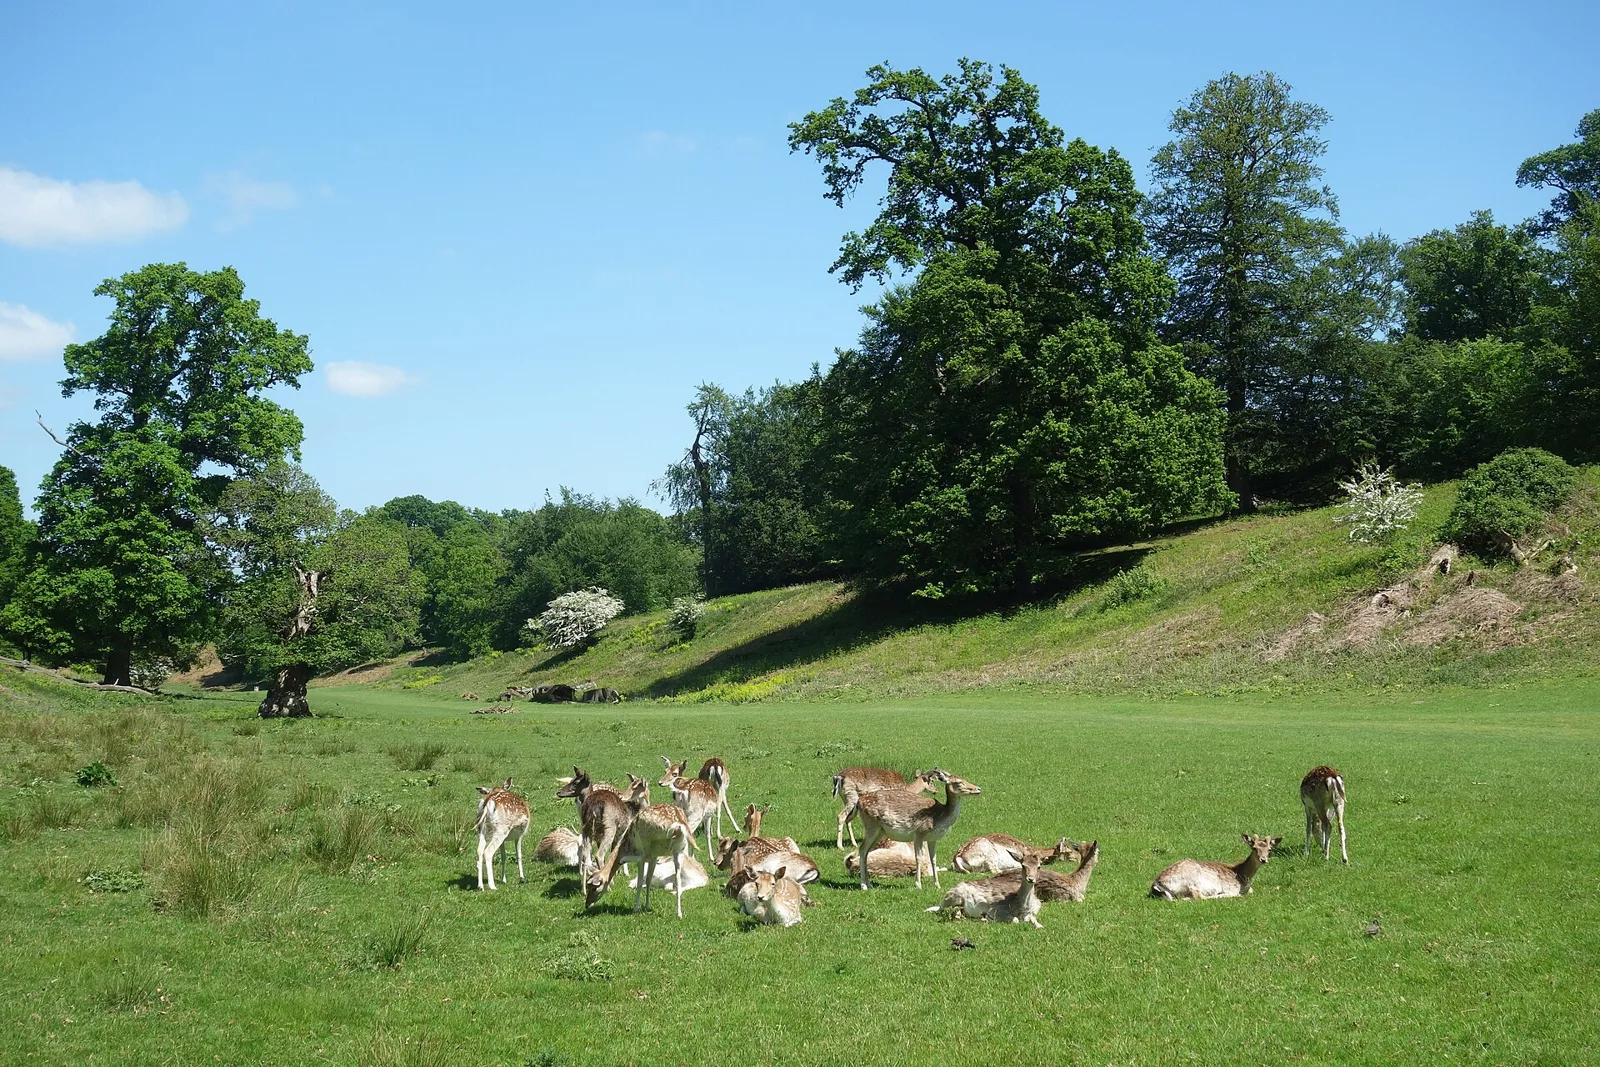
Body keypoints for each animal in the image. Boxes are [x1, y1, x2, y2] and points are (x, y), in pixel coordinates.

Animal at [1151, 834, 1282, 900]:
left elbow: (1251, 890)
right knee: (1198, 896)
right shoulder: (1231, 887)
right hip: (1192, 880)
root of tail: (1156, 884)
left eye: (1269, 849)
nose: (1263, 859)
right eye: (1254, 848)